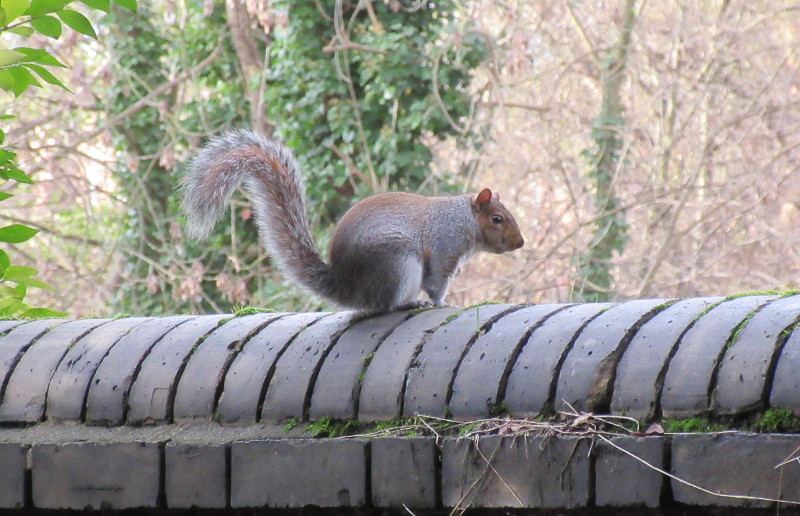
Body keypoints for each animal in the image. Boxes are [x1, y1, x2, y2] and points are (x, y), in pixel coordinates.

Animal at [180, 131, 524, 312]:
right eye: (497, 218)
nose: (520, 242)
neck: (465, 219)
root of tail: (348, 288)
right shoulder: (446, 245)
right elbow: (436, 281)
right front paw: (442, 303)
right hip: (397, 261)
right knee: (384, 306)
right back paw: (408, 304)